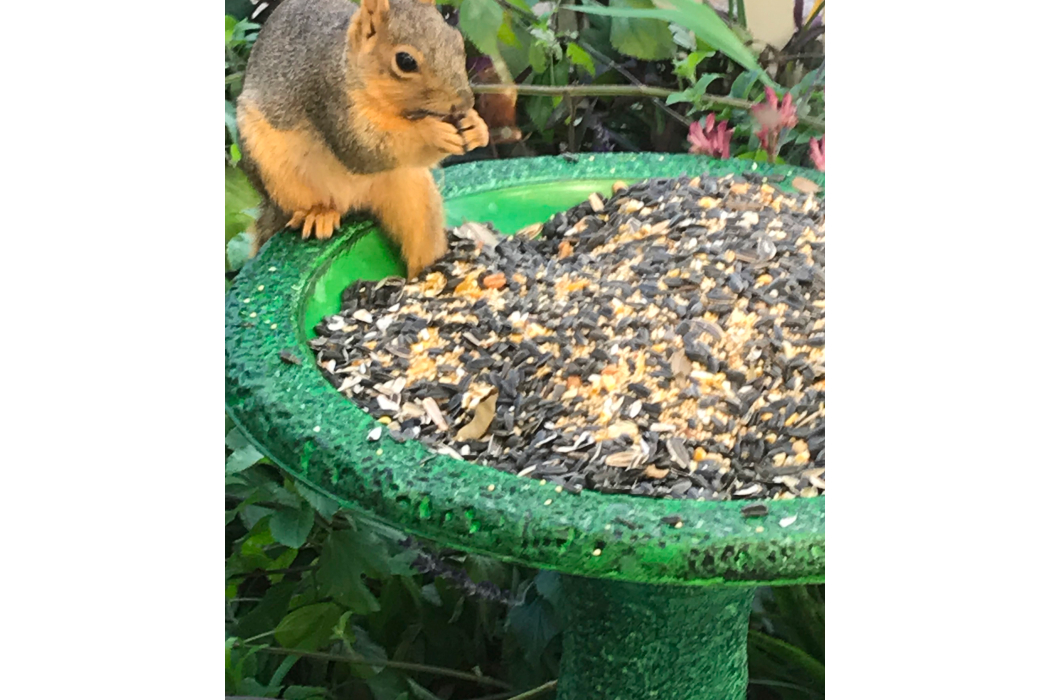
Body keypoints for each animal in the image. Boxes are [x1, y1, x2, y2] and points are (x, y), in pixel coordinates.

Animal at [236, 0, 489, 277]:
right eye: (405, 61)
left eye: (457, 41)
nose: (463, 103)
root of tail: (353, 201)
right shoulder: (330, 99)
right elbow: (364, 150)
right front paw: (432, 132)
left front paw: (477, 127)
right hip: (275, 174)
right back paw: (319, 213)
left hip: (412, 190)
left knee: (421, 231)